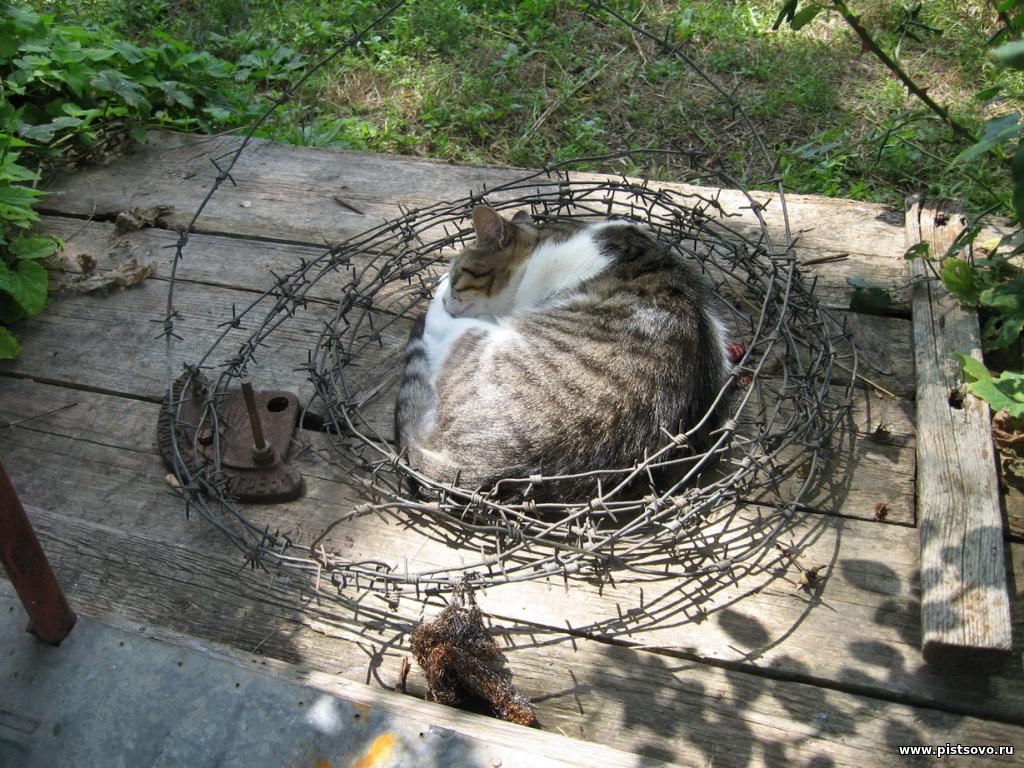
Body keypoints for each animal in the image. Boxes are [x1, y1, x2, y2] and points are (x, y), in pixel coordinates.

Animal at [394, 205, 731, 502]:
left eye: (459, 276)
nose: (448, 295)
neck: (547, 243)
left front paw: (440, 288)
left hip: (479, 340)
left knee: (439, 330)